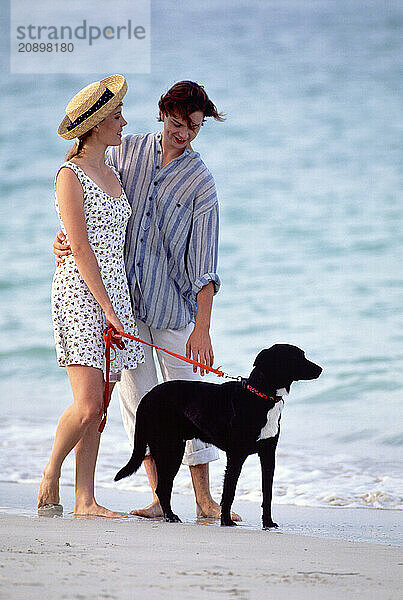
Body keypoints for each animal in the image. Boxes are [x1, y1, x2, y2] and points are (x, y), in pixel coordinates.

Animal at [115, 344, 324, 528]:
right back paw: (170, 517)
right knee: (162, 487)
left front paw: (267, 523)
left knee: (163, 487)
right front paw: (226, 521)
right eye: (296, 357)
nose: (321, 369)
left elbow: (268, 493)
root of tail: (148, 396)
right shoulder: (236, 456)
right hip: (170, 448)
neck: (261, 396)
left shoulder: (268, 454)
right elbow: (229, 491)